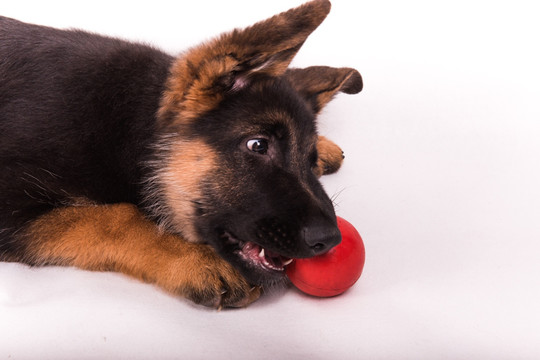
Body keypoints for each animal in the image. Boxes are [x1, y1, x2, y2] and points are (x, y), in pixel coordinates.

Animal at [2, 0, 362, 310]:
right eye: (258, 145)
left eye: (309, 160)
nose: (330, 240)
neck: (133, 127)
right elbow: (115, 216)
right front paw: (193, 259)